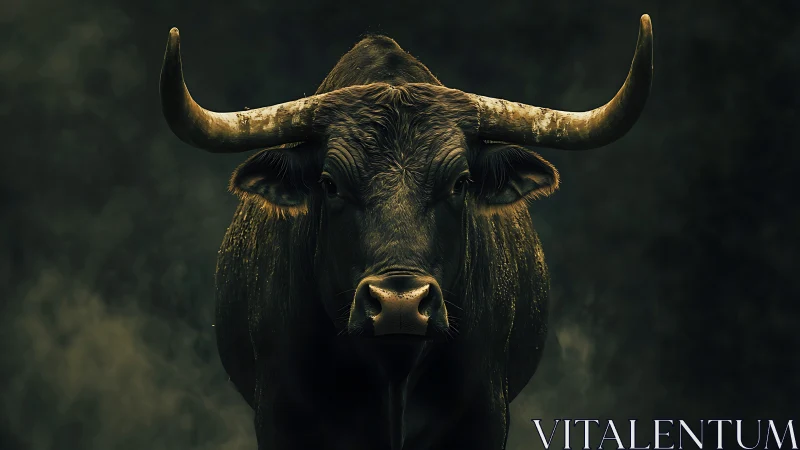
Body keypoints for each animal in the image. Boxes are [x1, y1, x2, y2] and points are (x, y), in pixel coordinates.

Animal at [159, 14, 653, 450]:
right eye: (330, 183)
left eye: (460, 182)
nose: (400, 304)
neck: (393, 374)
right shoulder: (281, 416)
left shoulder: (484, 416)